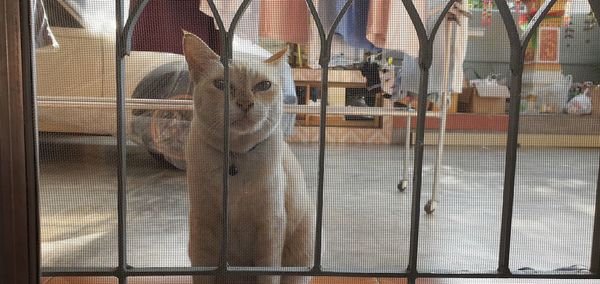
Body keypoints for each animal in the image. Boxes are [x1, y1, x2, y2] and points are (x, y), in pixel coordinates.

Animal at [183, 31, 316, 284]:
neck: (237, 156)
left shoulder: (270, 229)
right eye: (221, 85)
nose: (245, 104)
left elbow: (268, 274)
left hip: (299, 256)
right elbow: (202, 273)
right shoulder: (203, 229)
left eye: (263, 85)